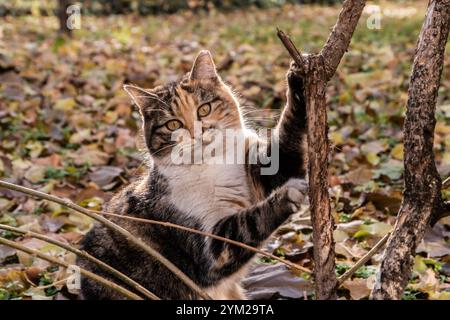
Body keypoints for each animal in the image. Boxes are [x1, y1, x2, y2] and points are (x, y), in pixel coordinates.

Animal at [78, 50, 310, 300]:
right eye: (172, 124)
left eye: (204, 109)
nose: (196, 132)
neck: (213, 164)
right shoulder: (211, 249)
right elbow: (250, 222)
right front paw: (289, 194)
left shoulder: (264, 168)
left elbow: (286, 144)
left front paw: (299, 80)